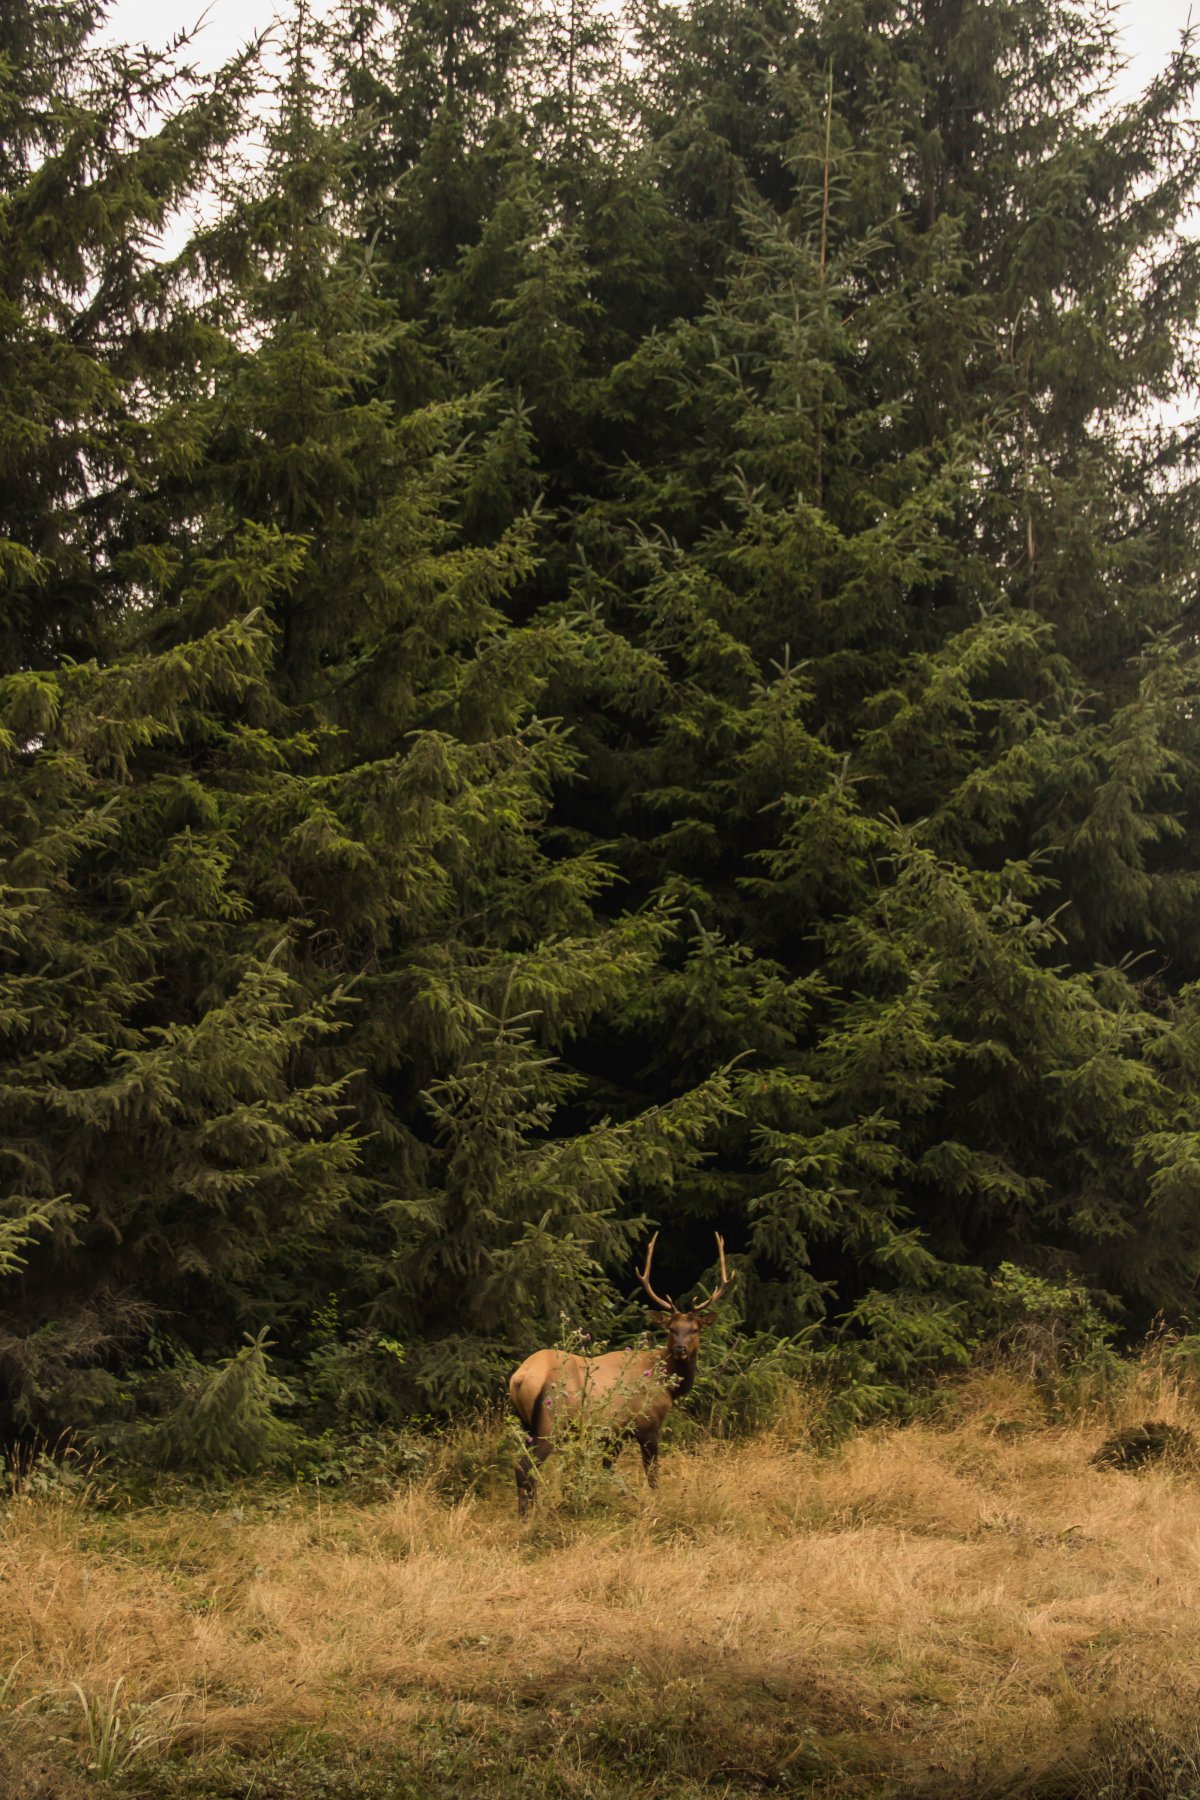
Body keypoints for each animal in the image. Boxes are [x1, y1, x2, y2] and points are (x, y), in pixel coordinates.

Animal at [507, 1231, 734, 1512]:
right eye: (671, 1329)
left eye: (695, 1329)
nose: (680, 1348)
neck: (666, 1385)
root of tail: (520, 1377)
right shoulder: (646, 1425)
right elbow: (652, 1475)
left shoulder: (614, 1433)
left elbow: (606, 1470)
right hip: (551, 1421)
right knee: (525, 1467)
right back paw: (530, 1515)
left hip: (524, 1422)